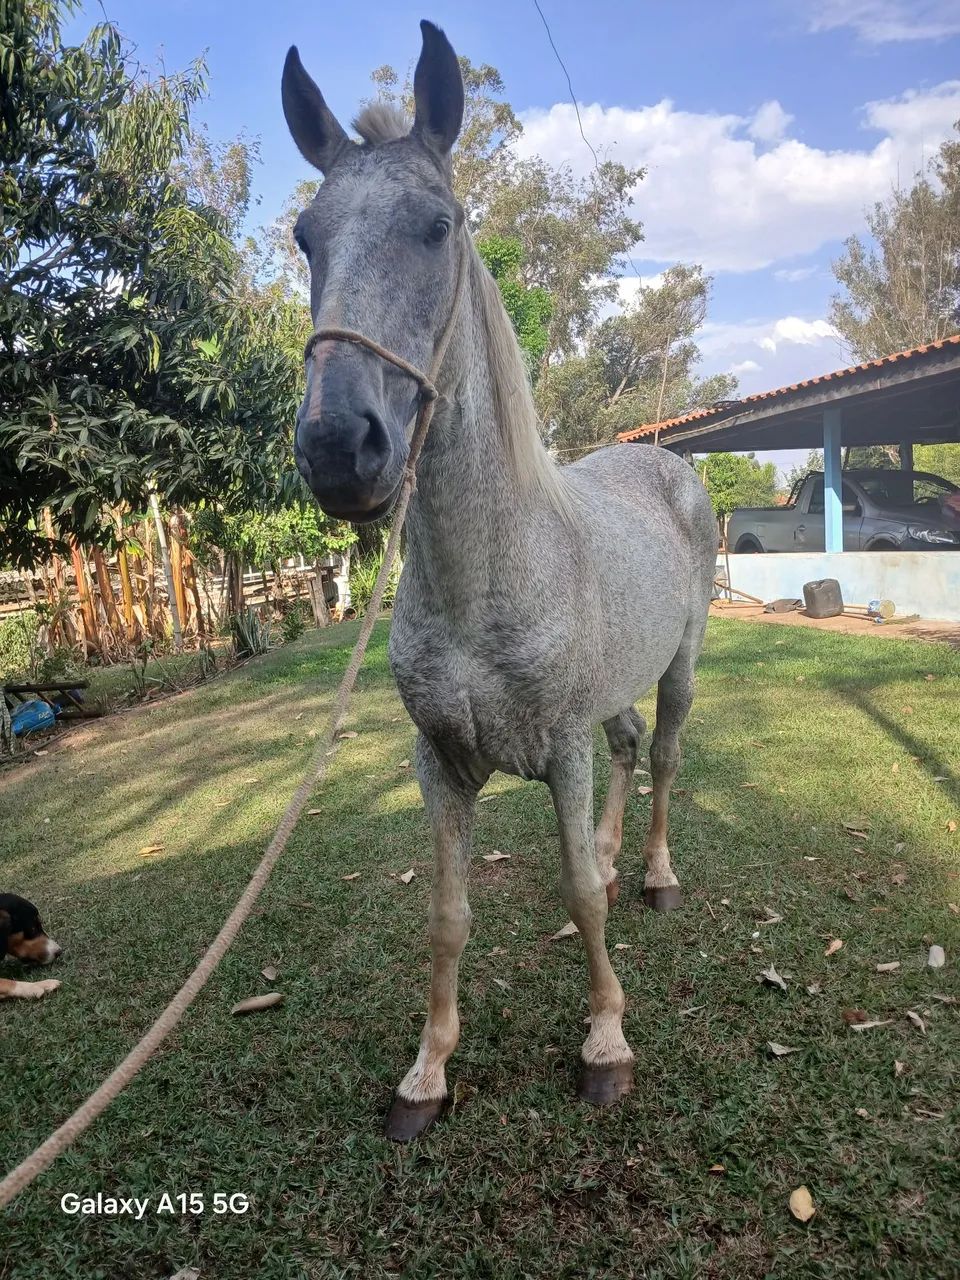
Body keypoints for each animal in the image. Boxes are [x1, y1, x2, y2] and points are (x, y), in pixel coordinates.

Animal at [282, 20, 718, 1141]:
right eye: (306, 237)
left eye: (438, 226)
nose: (340, 448)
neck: (487, 577)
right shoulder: (441, 764)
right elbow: (447, 914)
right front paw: (428, 1069)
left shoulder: (556, 750)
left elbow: (578, 897)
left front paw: (605, 1041)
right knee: (628, 751)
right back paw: (615, 849)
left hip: (681, 666)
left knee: (662, 756)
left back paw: (654, 872)